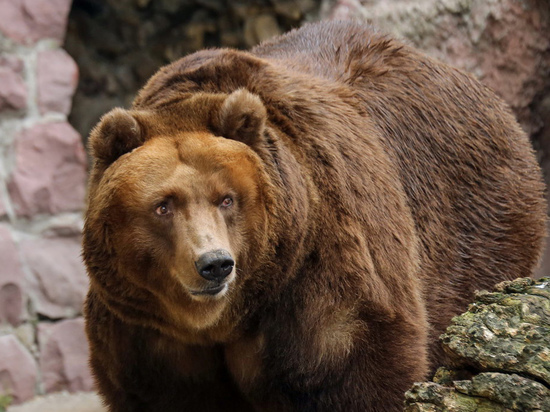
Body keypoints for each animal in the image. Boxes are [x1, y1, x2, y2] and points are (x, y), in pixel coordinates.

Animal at [82, 20, 548, 412]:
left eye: (227, 199)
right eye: (163, 204)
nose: (214, 264)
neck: (225, 320)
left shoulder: (321, 278)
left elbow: (358, 374)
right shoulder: (144, 335)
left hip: (479, 228)